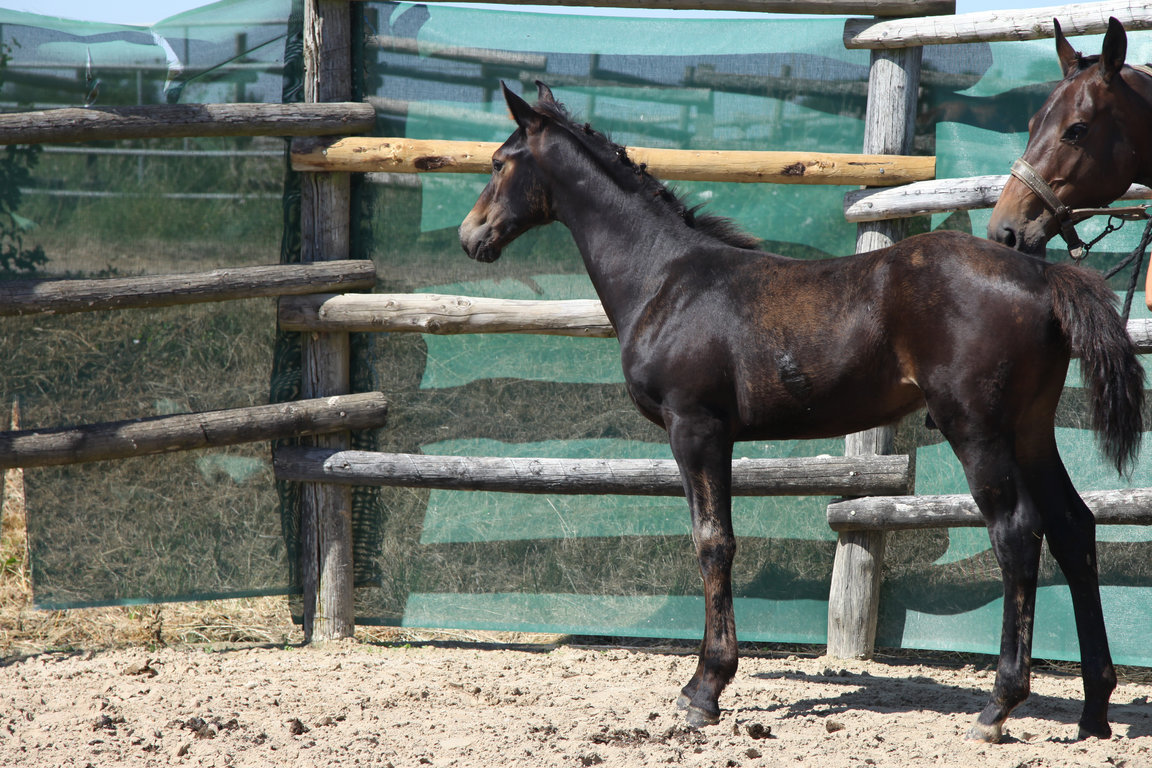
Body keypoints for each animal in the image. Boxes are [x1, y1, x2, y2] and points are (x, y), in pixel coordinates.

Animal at [458, 82, 1142, 746]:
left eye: (498, 162)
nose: (471, 236)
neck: (665, 278)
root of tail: (1042, 274)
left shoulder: (696, 427)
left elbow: (713, 542)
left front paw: (704, 689)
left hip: (976, 428)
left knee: (1018, 534)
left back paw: (998, 706)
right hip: (1029, 429)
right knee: (1074, 526)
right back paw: (1093, 710)